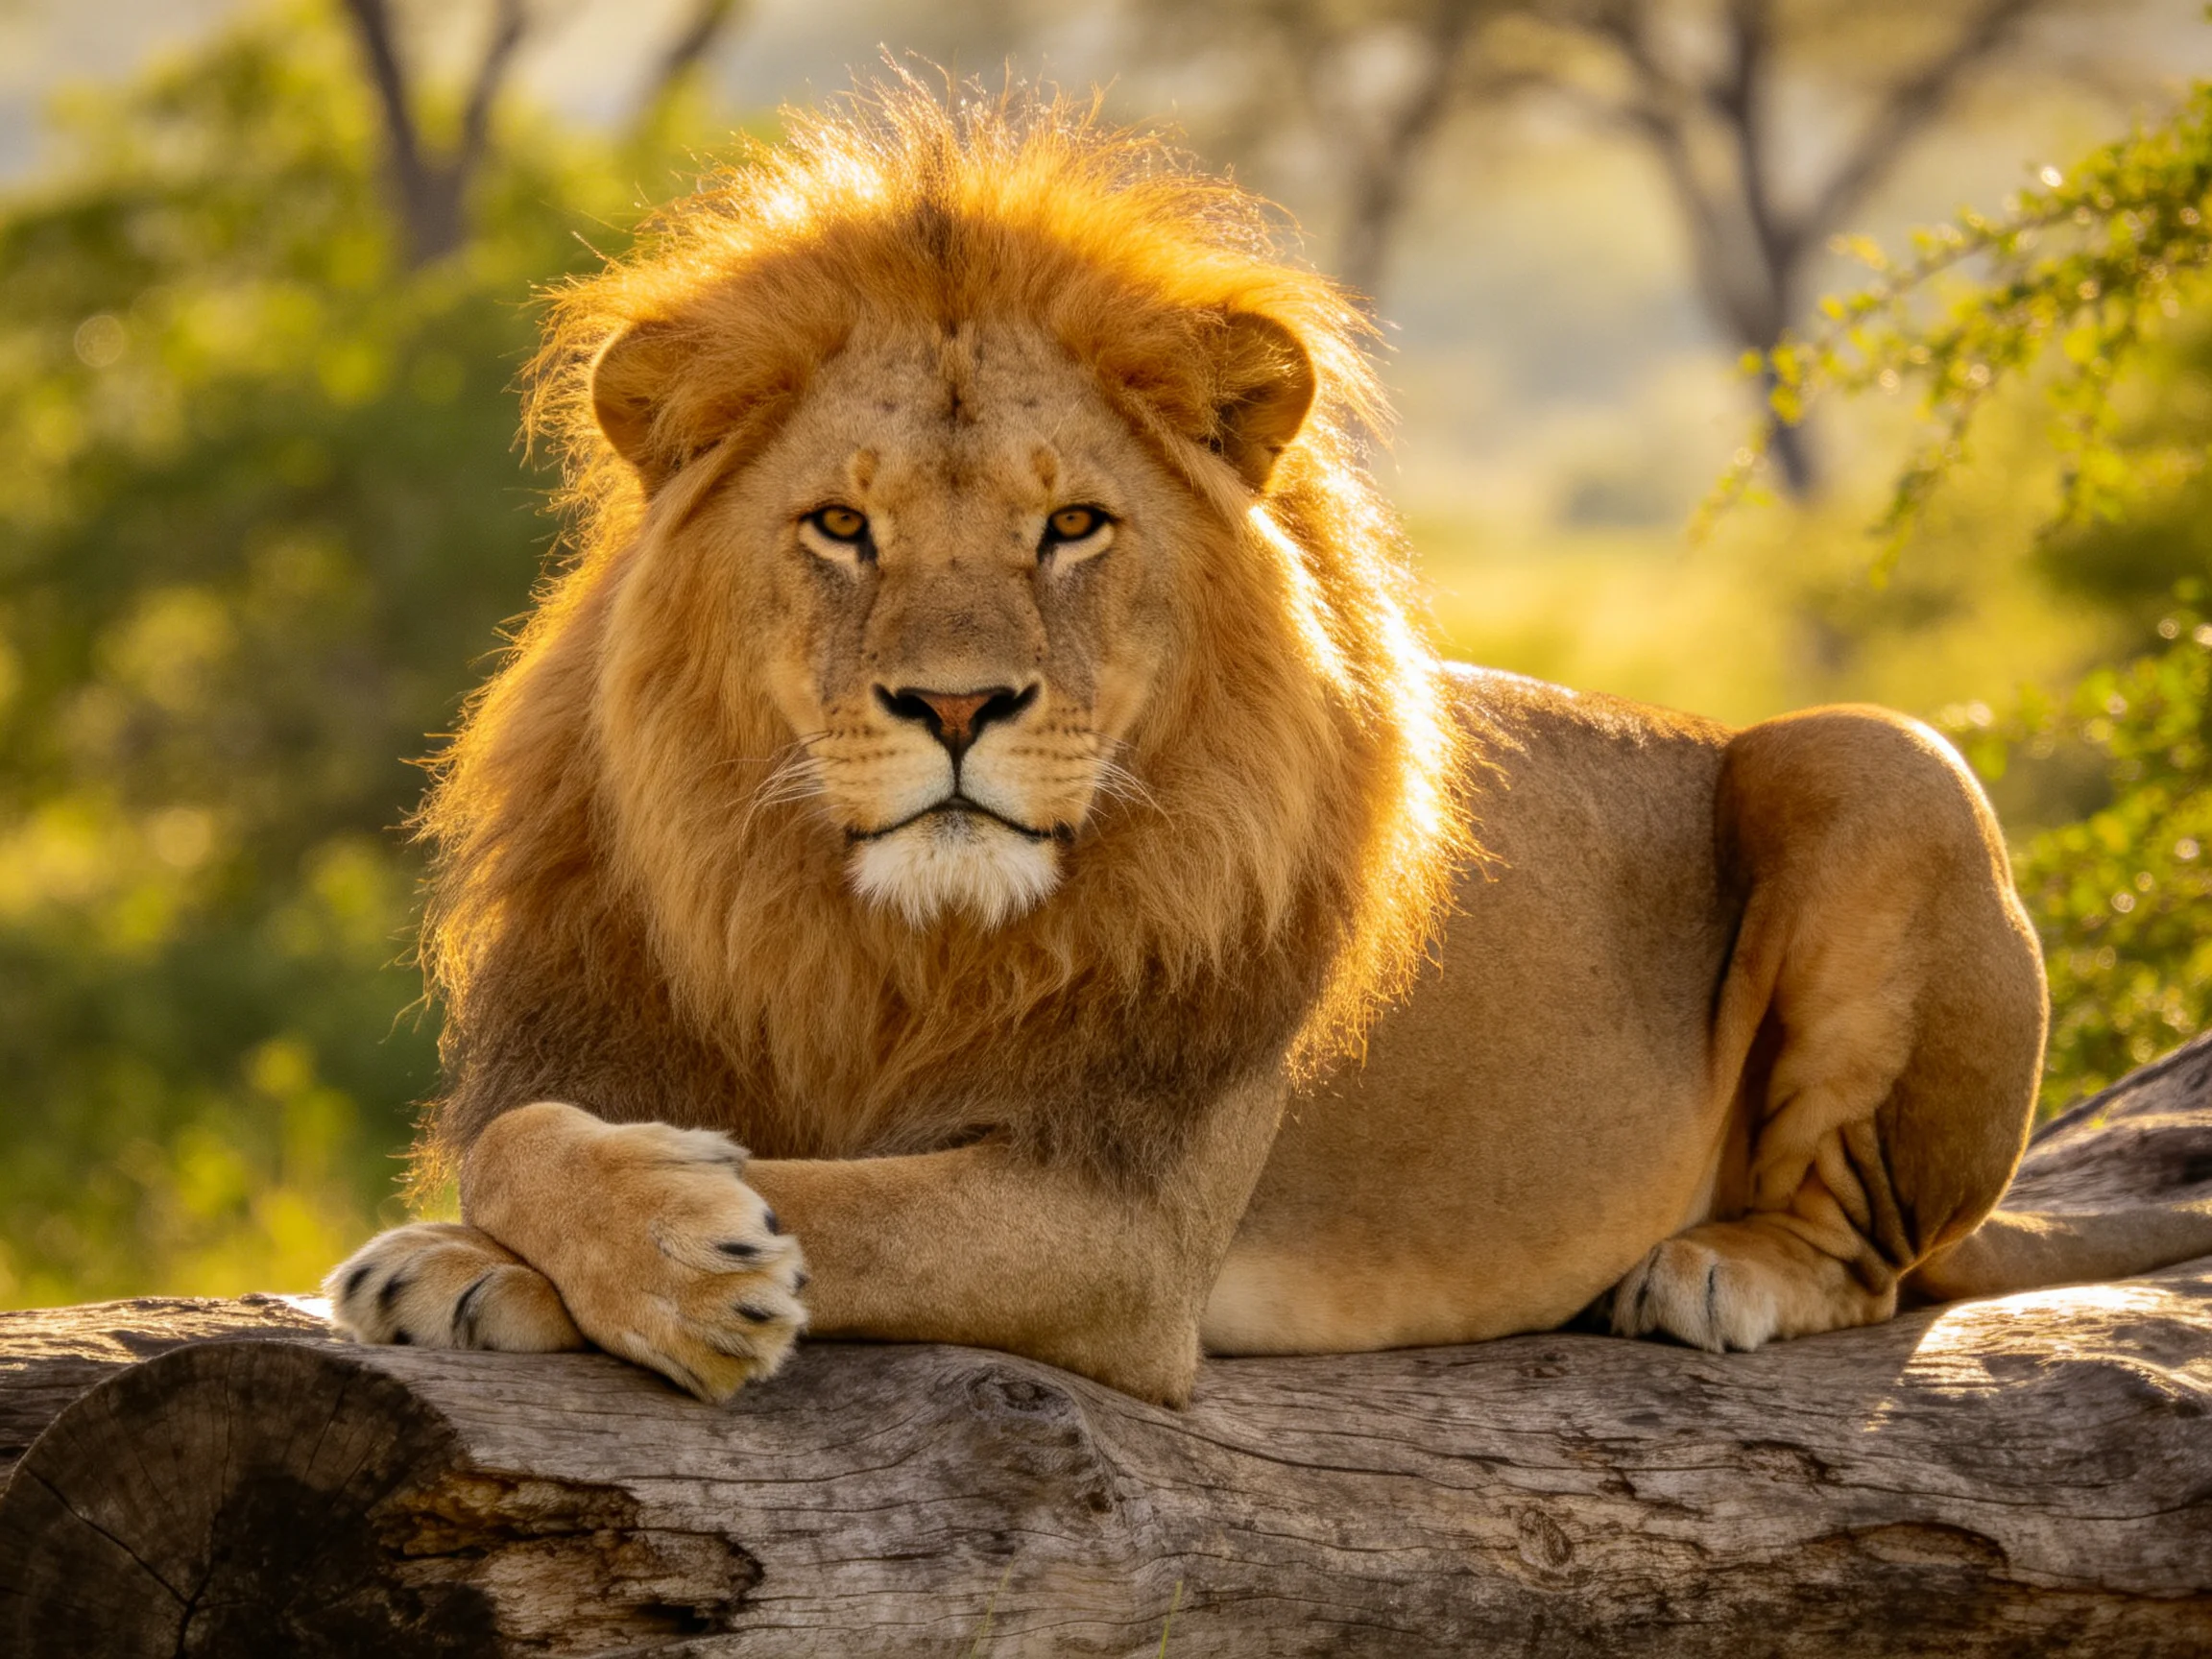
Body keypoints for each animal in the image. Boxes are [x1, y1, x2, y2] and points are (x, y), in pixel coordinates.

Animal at [325, 86, 2212, 1408]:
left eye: (1072, 526)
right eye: (842, 528)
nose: (957, 707)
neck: (869, 940)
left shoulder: (1118, 1224)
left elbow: (831, 1200)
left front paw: (687, 1261)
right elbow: (521, 1131)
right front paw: (484, 1253)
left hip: (1880, 760)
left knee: (1876, 1254)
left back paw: (1716, 1271)